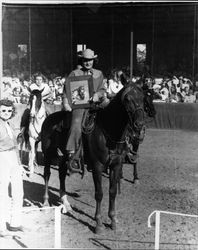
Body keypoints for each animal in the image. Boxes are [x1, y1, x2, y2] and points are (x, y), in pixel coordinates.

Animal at [40, 81, 155, 233]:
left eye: (142, 98)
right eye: (127, 99)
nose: (139, 125)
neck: (108, 130)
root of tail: (48, 118)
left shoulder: (116, 164)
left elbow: (112, 191)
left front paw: (113, 220)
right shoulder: (97, 166)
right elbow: (99, 193)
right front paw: (98, 223)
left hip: (64, 156)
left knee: (61, 174)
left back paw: (66, 204)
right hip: (47, 153)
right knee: (47, 174)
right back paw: (46, 202)